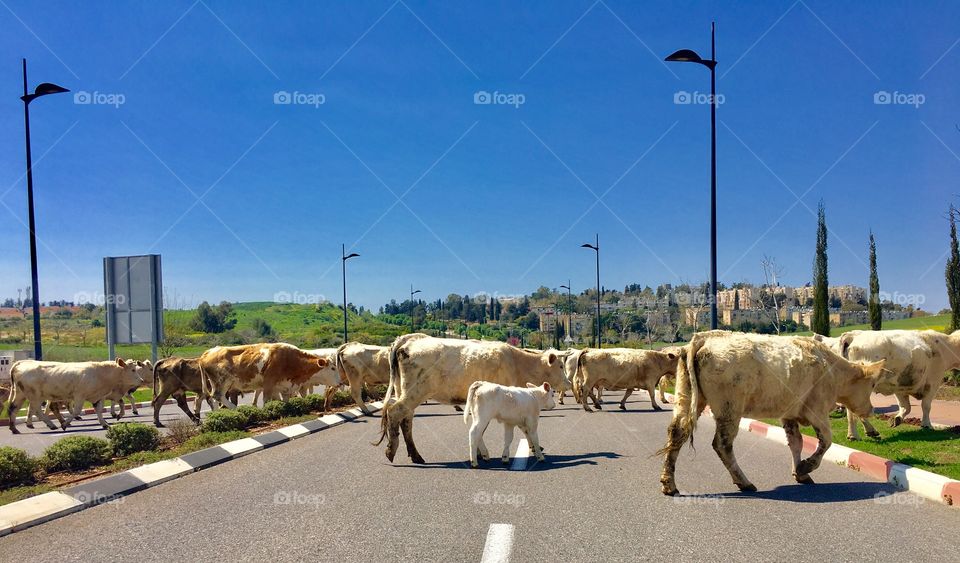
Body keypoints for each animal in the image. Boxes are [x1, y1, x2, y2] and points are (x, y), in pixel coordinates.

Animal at [8, 358, 152, 433]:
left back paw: (14, 428)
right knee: (36, 410)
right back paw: (52, 424)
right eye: (132, 370)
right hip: (35, 396)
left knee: (14, 408)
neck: (101, 373)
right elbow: (77, 410)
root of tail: (22, 363)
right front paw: (66, 424)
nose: (141, 381)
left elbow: (100, 410)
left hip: (22, 394)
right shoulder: (80, 396)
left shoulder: (98, 396)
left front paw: (105, 423)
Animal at [198, 343, 331, 409]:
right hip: (223, 381)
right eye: (332, 368)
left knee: (212, 400)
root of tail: (207, 353)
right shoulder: (269, 383)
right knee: (218, 397)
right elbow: (266, 400)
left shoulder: (283, 386)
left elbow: (283, 400)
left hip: (214, 384)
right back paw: (236, 409)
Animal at [377, 336, 567, 464]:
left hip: (404, 391)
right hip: (415, 392)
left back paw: (415, 455)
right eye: (561, 366)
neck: (517, 362)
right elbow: (524, 429)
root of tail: (408, 340)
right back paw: (391, 450)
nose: (568, 382)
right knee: (395, 413)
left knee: (406, 420)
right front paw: (535, 448)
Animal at [658, 331, 885, 495]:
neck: (833, 369)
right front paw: (806, 467)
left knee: (677, 433)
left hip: (687, 396)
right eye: (873, 384)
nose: (871, 410)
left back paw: (669, 484)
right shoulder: (817, 409)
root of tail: (705, 337)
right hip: (729, 407)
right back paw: (744, 482)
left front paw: (799, 473)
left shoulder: (789, 413)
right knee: (722, 444)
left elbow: (796, 442)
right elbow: (826, 441)